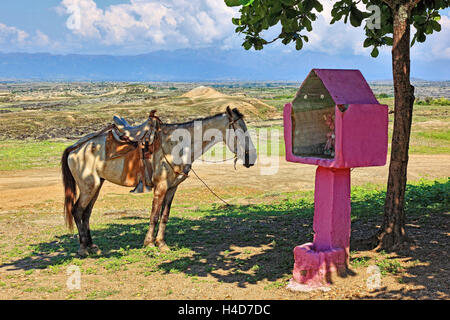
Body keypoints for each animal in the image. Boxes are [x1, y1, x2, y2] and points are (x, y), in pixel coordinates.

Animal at [61, 106, 256, 256]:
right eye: (240, 131)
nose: (251, 158)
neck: (176, 145)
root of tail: (75, 147)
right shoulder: (160, 187)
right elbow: (154, 215)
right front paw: (149, 243)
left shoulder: (172, 188)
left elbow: (164, 215)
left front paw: (161, 243)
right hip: (88, 186)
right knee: (77, 211)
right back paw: (83, 248)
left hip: (96, 185)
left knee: (86, 213)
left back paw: (92, 246)